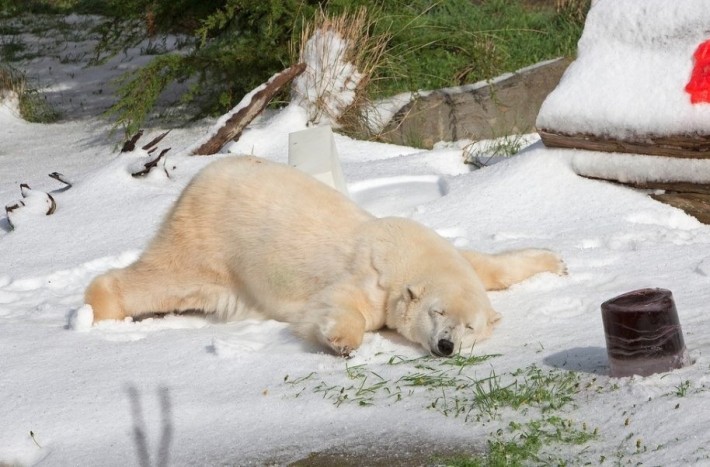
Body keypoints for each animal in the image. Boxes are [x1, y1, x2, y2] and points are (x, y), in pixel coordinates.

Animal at [87, 157, 568, 358]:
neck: (410, 253)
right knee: (164, 277)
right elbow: (340, 304)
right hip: (210, 241)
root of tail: (199, 177)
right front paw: (342, 342)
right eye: (438, 314)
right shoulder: (373, 277)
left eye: (469, 327)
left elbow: (490, 266)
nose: (446, 346)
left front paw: (556, 262)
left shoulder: (454, 256)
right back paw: (99, 307)